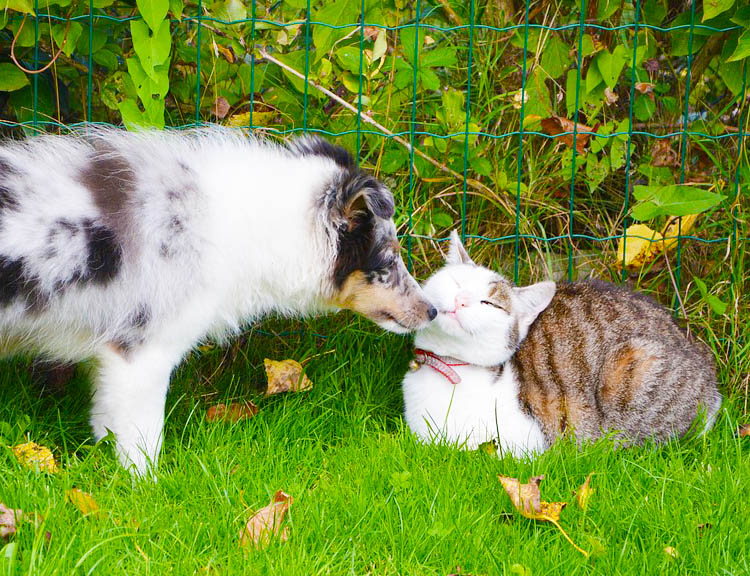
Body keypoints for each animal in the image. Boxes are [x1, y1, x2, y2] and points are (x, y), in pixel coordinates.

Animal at [0, 128, 438, 474]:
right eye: (388, 260)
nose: (433, 310)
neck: (249, 226)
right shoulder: (143, 354)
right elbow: (142, 438)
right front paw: (148, 492)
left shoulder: (114, 357)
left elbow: (108, 422)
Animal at [402, 232, 724, 456]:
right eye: (455, 282)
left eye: (489, 304)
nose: (461, 299)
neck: (448, 367)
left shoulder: (521, 444)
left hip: (635, 366)